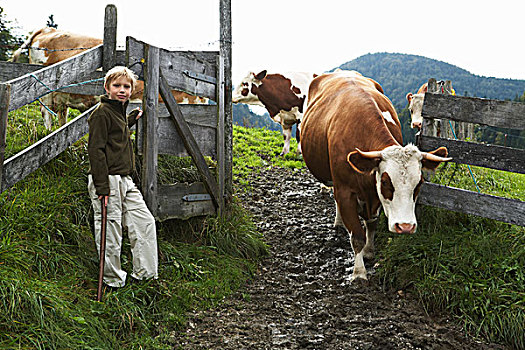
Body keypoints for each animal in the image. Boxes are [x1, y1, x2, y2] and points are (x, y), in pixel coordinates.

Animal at [298, 70, 450, 282]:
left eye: (419, 183)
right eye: (386, 181)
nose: (405, 226)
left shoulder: (374, 193)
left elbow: (372, 224)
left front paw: (369, 252)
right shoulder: (345, 191)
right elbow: (357, 236)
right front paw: (359, 273)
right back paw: (338, 222)